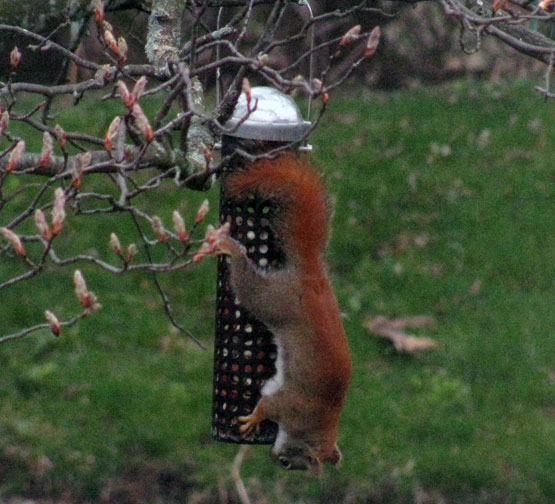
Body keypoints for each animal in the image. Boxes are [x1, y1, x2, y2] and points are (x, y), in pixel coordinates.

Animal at [214, 153, 350, 472]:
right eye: (290, 464)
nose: (276, 460)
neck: (317, 423)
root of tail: (311, 276)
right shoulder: (290, 405)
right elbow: (267, 405)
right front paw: (253, 419)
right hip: (272, 300)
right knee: (248, 286)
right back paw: (231, 248)